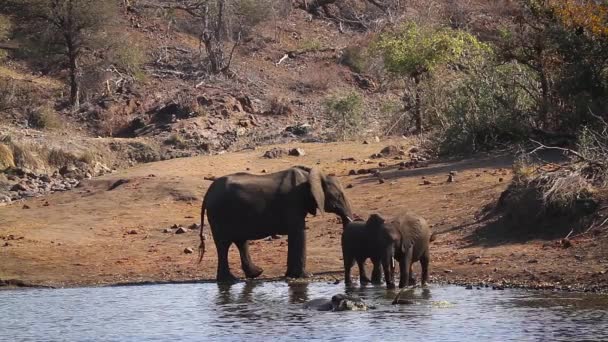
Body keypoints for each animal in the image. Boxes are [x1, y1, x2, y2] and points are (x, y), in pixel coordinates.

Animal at [200, 165, 354, 280]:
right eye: (339, 196)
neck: (310, 175)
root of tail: (207, 193)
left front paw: (291, 276)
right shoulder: (293, 201)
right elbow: (299, 232)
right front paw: (305, 276)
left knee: (240, 242)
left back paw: (254, 274)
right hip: (219, 214)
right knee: (224, 245)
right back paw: (231, 280)